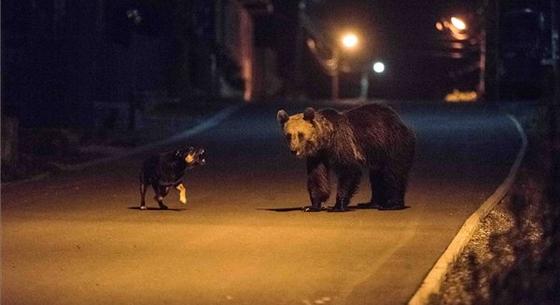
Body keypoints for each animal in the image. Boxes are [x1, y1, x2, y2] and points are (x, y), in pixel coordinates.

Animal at [276, 103, 416, 210]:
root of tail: (401, 121)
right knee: (377, 176)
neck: (325, 140)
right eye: (288, 135)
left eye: (300, 134)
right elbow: (317, 176)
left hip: (393, 145)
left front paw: (337, 205)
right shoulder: (317, 155)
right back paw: (371, 203)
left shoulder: (342, 143)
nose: (294, 150)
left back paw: (392, 204)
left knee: (393, 174)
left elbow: (349, 169)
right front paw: (313, 206)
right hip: (377, 155)